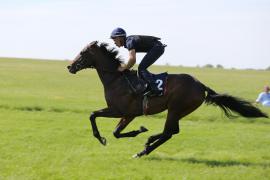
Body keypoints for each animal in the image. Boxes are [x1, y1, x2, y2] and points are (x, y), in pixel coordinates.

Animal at [67, 40, 268, 158]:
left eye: (83, 53)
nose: (69, 66)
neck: (116, 78)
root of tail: (201, 85)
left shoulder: (121, 110)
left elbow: (94, 115)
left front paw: (106, 137)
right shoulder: (128, 113)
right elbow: (114, 131)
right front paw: (135, 132)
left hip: (175, 108)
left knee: (168, 132)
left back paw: (144, 149)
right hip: (179, 111)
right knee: (172, 131)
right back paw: (148, 143)